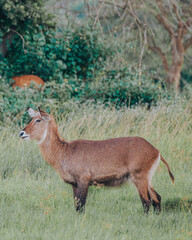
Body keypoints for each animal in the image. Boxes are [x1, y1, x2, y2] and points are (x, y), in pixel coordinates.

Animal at [19, 108, 174, 213]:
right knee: (157, 198)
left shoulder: (83, 180)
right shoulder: (74, 184)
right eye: (32, 119)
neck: (64, 151)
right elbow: (76, 206)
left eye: (38, 120)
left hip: (139, 177)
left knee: (146, 201)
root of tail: (156, 151)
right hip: (147, 178)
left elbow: (81, 206)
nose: (22, 133)